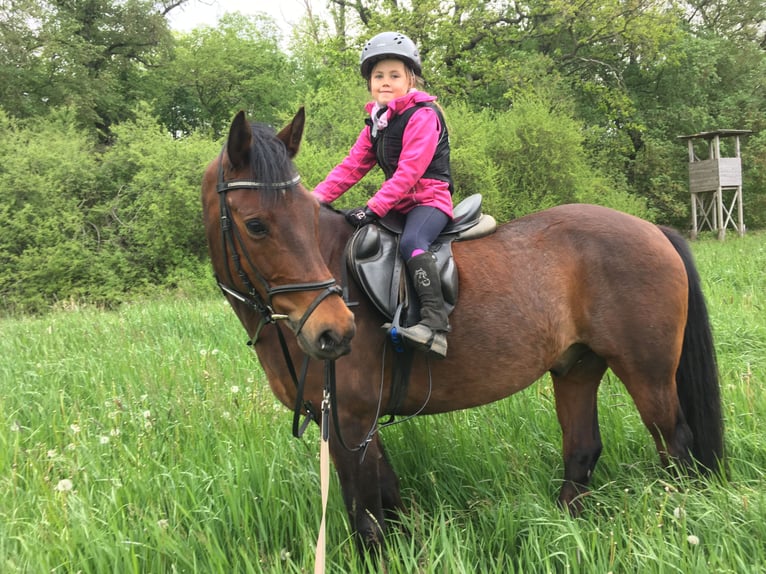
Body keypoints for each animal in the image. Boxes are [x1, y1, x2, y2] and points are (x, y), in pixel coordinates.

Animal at [202, 108, 728, 552]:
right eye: (256, 225)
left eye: (309, 217)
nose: (335, 331)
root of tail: (654, 230)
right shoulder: (356, 425)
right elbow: (389, 497)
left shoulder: (351, 421)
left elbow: (367, 517)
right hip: (577, 368)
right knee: (582, 450)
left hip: (648, 374)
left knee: (675, 446)